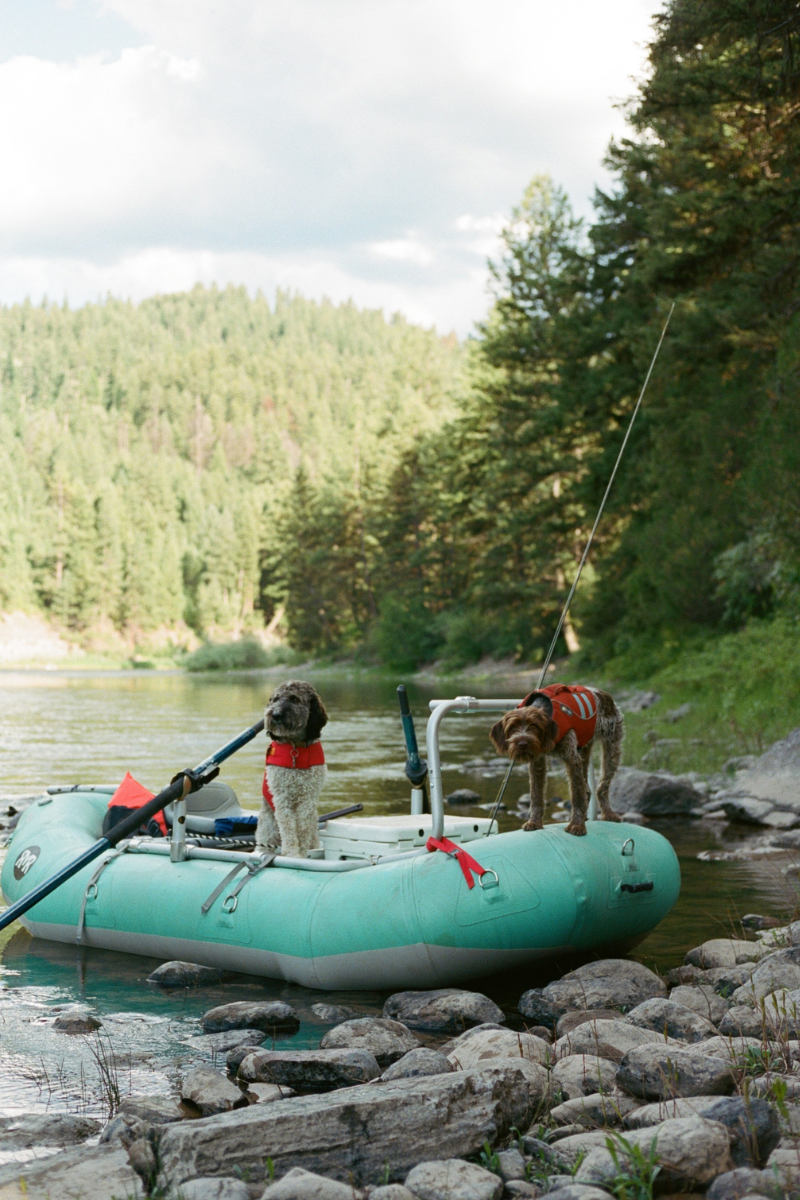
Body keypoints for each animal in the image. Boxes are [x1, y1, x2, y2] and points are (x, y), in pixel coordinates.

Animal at [489, 681, 623, 840]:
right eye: (512, 727)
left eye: (534, 725)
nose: (522, 743)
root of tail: (604, 693)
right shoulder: (537, 763)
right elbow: (536, 795)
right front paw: (534, 822)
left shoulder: (572, 758)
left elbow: (576, 794)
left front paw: (576, 825)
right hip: (584, 750)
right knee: (587, 788)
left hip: (612, 749)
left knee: (601, 788)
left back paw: (608, 814)